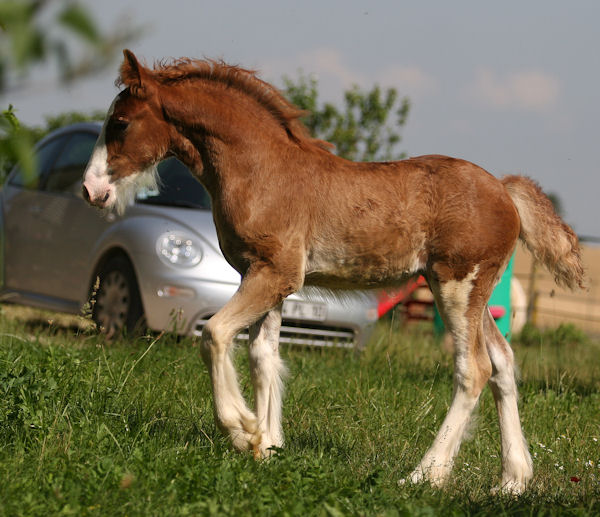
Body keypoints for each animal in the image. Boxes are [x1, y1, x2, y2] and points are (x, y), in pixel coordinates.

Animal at [82, 50, 584, 494]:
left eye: (120, 123)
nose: (90, 190)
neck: (262, 170)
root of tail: (504, 189)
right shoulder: (264, 277)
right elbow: (263, 356)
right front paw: (268, 447)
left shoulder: (274, 274)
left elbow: (216, 335)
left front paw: (242, 429)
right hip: (475, 295)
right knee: (503, 363)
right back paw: (512, 481)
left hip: (457, 285)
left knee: (473, 369)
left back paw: (425, 476)